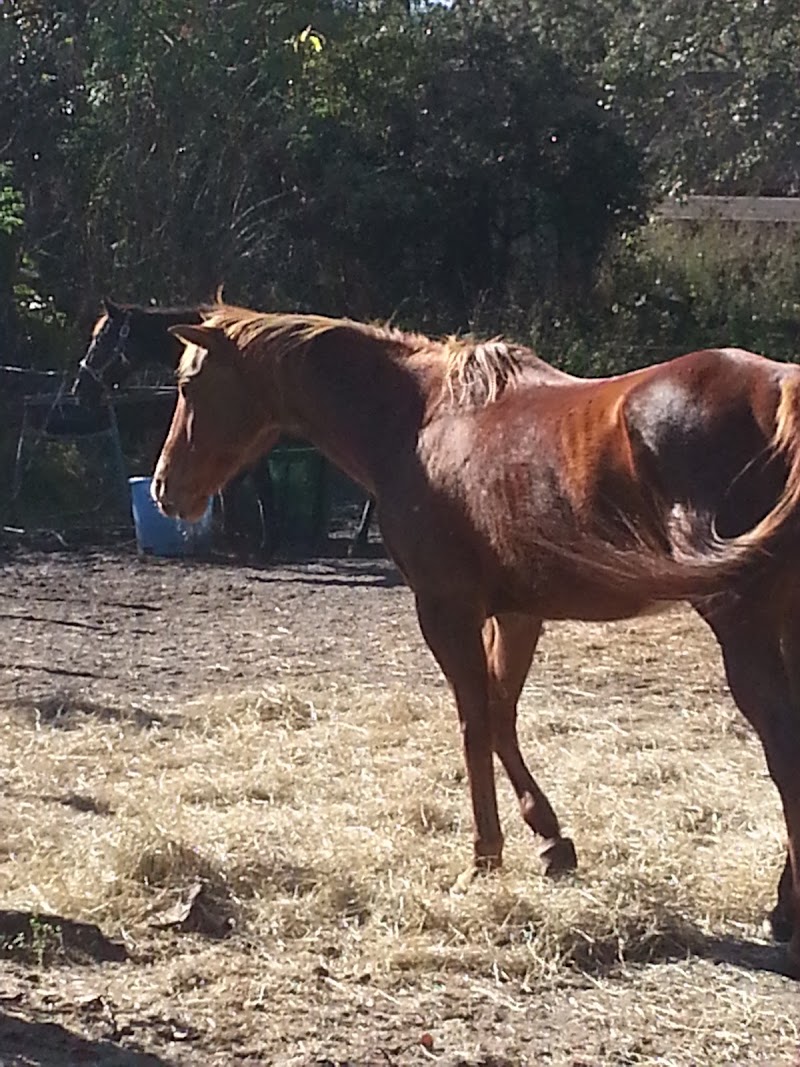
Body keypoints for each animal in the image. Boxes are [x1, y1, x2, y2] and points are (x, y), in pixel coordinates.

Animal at [72, 299, 376, 557]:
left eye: (100, 340)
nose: (79, 389)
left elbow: (254, 490)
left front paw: (255, 543)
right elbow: (237, 489)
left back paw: (359, 542)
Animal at [150, 303, 800, 977]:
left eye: (189, 385)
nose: (164, 489)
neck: (420, 421)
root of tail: (781, 389)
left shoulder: (446, 610)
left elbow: (473, 722)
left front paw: (484, 858)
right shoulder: (516, 616)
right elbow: (499, 716)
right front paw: (551, 842)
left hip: (743, 626)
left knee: (784, 750)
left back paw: (788, 921)